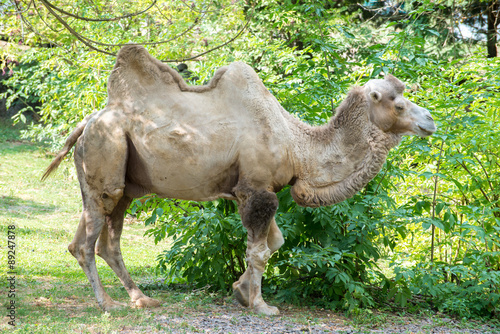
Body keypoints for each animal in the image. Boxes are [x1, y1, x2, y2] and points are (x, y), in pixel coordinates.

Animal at [43, 45, 436, 316]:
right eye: (398, 104)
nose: (430, 121)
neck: (297, 145)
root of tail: (88, 120)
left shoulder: (254, 189)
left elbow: (275, 242)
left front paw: (241, 292)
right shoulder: (258, 190)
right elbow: (260, 250)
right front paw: (261, 305)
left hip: (118, 178)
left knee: (99, 237)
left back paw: (141, 298)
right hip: (107, 153)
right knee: (89, 238)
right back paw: (108, 304)